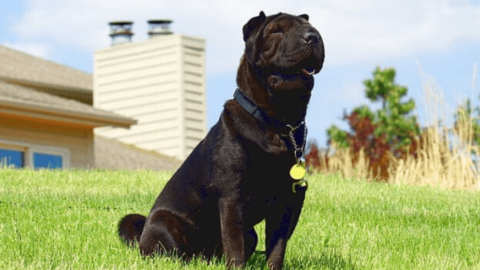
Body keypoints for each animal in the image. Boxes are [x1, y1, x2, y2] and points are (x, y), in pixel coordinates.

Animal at [118, 11, 324, 268]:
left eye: (312, 28)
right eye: (276, 30)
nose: (312, 36)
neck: (276, 122)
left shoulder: (285, 202)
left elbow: (276, 248)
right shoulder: (231, 199)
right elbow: (234, 247)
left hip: (251, 233)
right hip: (164, 222)